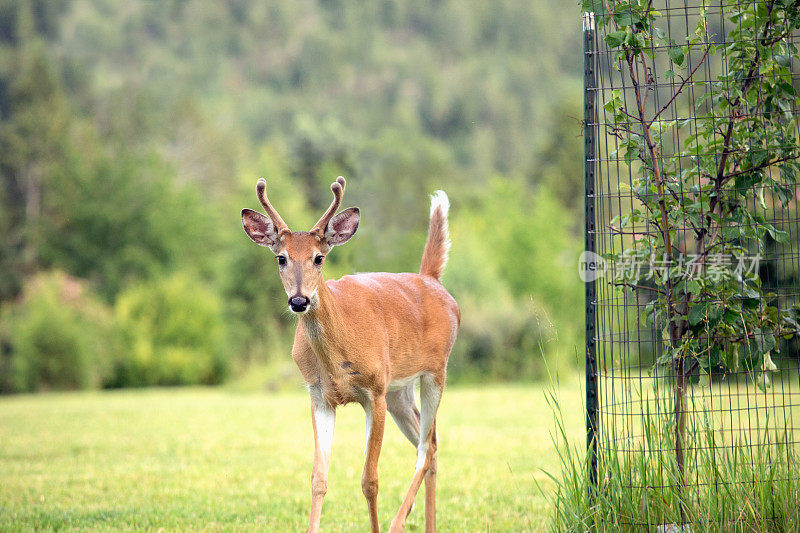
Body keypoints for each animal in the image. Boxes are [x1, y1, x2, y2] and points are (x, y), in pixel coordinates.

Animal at [241, 177, 460, 528]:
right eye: (281, 258)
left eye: (319, 257)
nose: (299, 300)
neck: (334, 359)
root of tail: (431, 279)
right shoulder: (319, 396)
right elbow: (318, 478)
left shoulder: (374, 390)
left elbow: (370, 479)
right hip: (400, 389)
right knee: (430, 444)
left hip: (435, 371)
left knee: (426, 447)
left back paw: (398, 523)